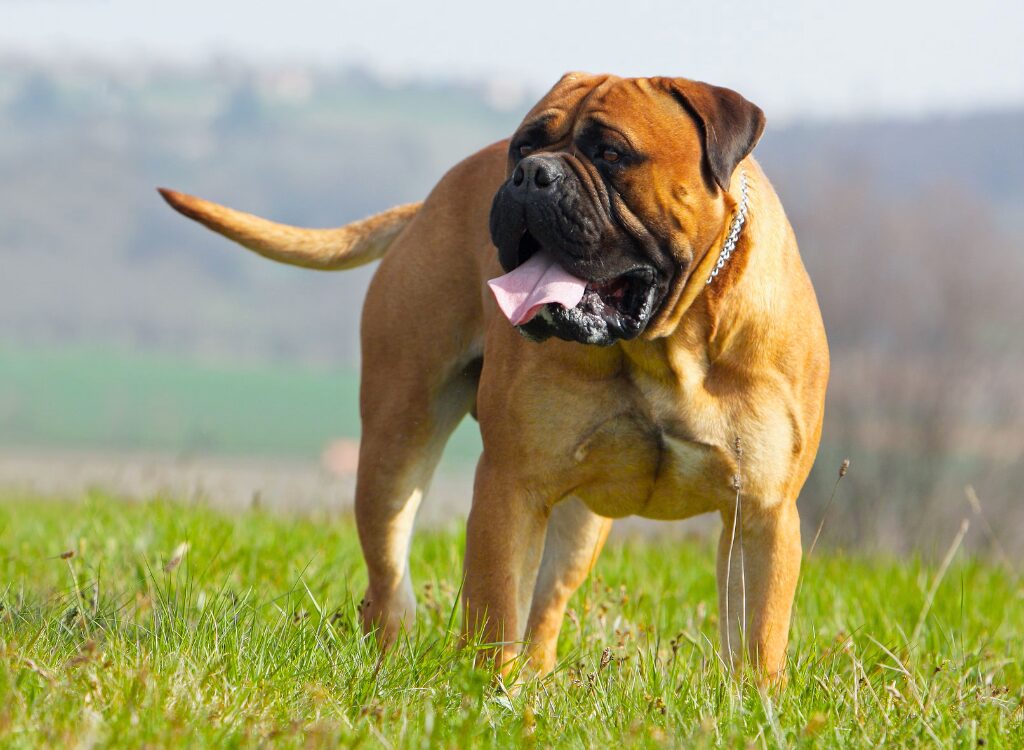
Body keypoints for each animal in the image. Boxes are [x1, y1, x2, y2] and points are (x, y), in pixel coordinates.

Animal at [161, 73, 831, 684]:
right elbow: (494, 604)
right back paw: (391, 663)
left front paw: (753, 705)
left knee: (547, 604)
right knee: (390, 578)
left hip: (580, 523)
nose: (532, 174)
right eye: (523, 145)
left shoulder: (763, 513)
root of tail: (425, 205)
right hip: (395, 447)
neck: (662, 345)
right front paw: (488, 692)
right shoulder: (511, 485)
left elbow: (758, 635)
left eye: (612, 153)